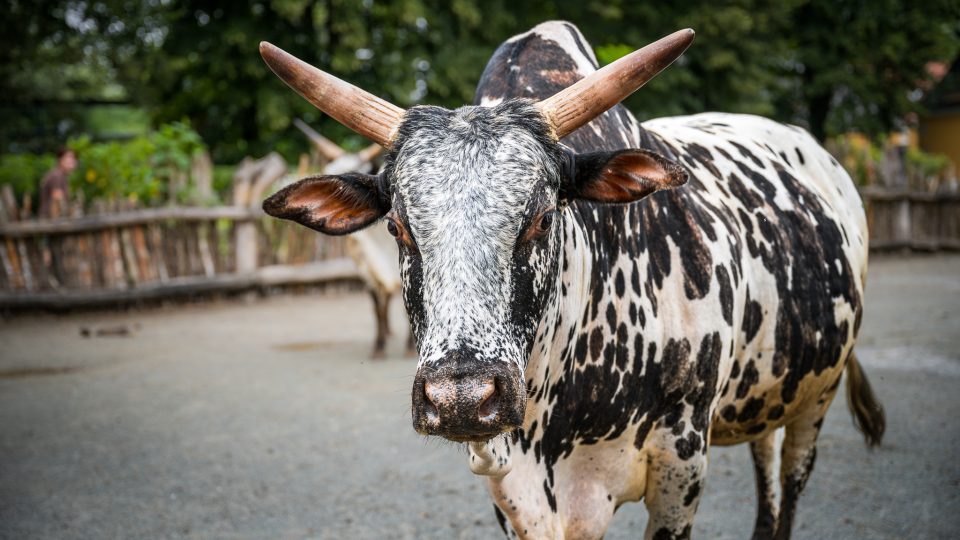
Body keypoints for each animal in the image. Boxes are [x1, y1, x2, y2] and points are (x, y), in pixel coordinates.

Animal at [256, 19, 884, 536]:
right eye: (397, 226)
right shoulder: (514, 493)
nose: (461, 398)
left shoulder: (681, 467)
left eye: (541, 216)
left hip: (815, 400)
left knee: (789, 487)